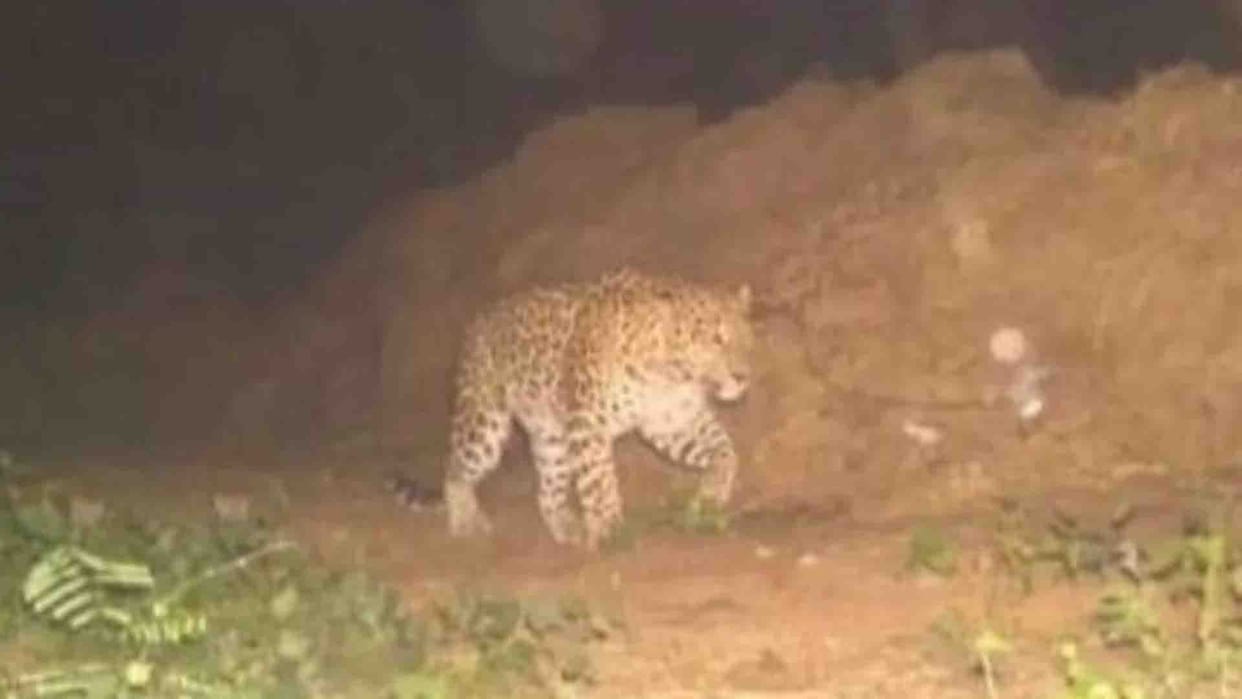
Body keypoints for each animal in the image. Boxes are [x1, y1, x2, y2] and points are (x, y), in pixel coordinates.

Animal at [442, 268, 754, 550]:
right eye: (715, 339)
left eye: (747, 336)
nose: (743, 377)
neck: (669, 375)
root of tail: (480, 319)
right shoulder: (588, 423)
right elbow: (599, 481)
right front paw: (611, 531)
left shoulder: (671, 420)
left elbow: (725, 450)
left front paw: (712, 492)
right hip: (485, 424)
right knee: (455, 470)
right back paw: (464, 521)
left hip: (552, 437)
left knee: (548, 492)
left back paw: (568, 529)